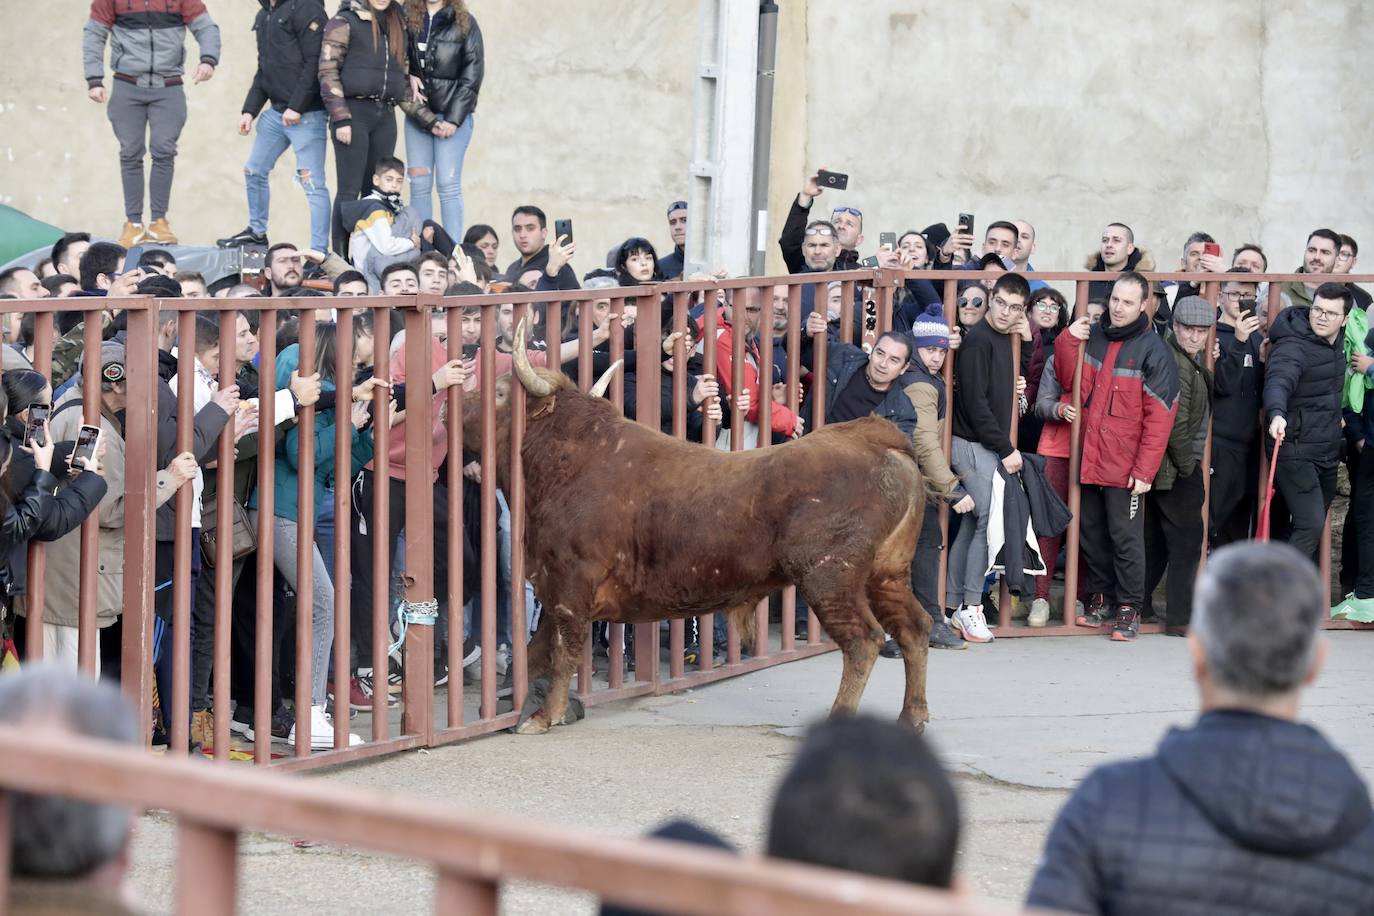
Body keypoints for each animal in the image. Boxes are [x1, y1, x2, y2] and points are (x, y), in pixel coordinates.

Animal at [464, 318, 934, 736]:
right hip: (887, 574)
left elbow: (562, 651)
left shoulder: (569, 588)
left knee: (864, 640)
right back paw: (912, 716)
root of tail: (876, 439)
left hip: (830, 578)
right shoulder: (553, 588)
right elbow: (535, 653)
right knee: (915, 628)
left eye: (501, 392)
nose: (459, 403)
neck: (573, 462)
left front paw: (544, 717)